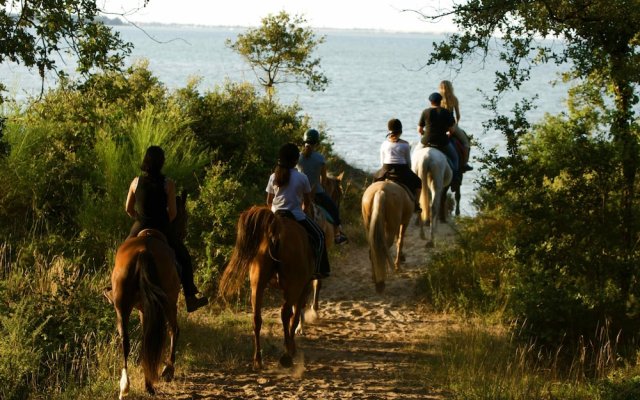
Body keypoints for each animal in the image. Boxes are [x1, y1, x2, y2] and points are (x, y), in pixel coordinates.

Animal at [107, 192, 186, 398]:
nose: (182, 234)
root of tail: (144, 250)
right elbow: (172, 331)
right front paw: (167, 371)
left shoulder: (143, 309)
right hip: (168, 302)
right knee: (171, 330)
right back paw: (163, 374)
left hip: (123, 306)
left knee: (127, 341)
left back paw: (126, 387)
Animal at [219, 206, 314, 368]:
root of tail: (275, 231)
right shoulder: (302, 288)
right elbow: (295, 317)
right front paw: (292, 347)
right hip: (293, 285)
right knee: (285, 313)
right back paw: (286, 356)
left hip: (257, 284)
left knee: (257, 318)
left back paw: (258, 359)